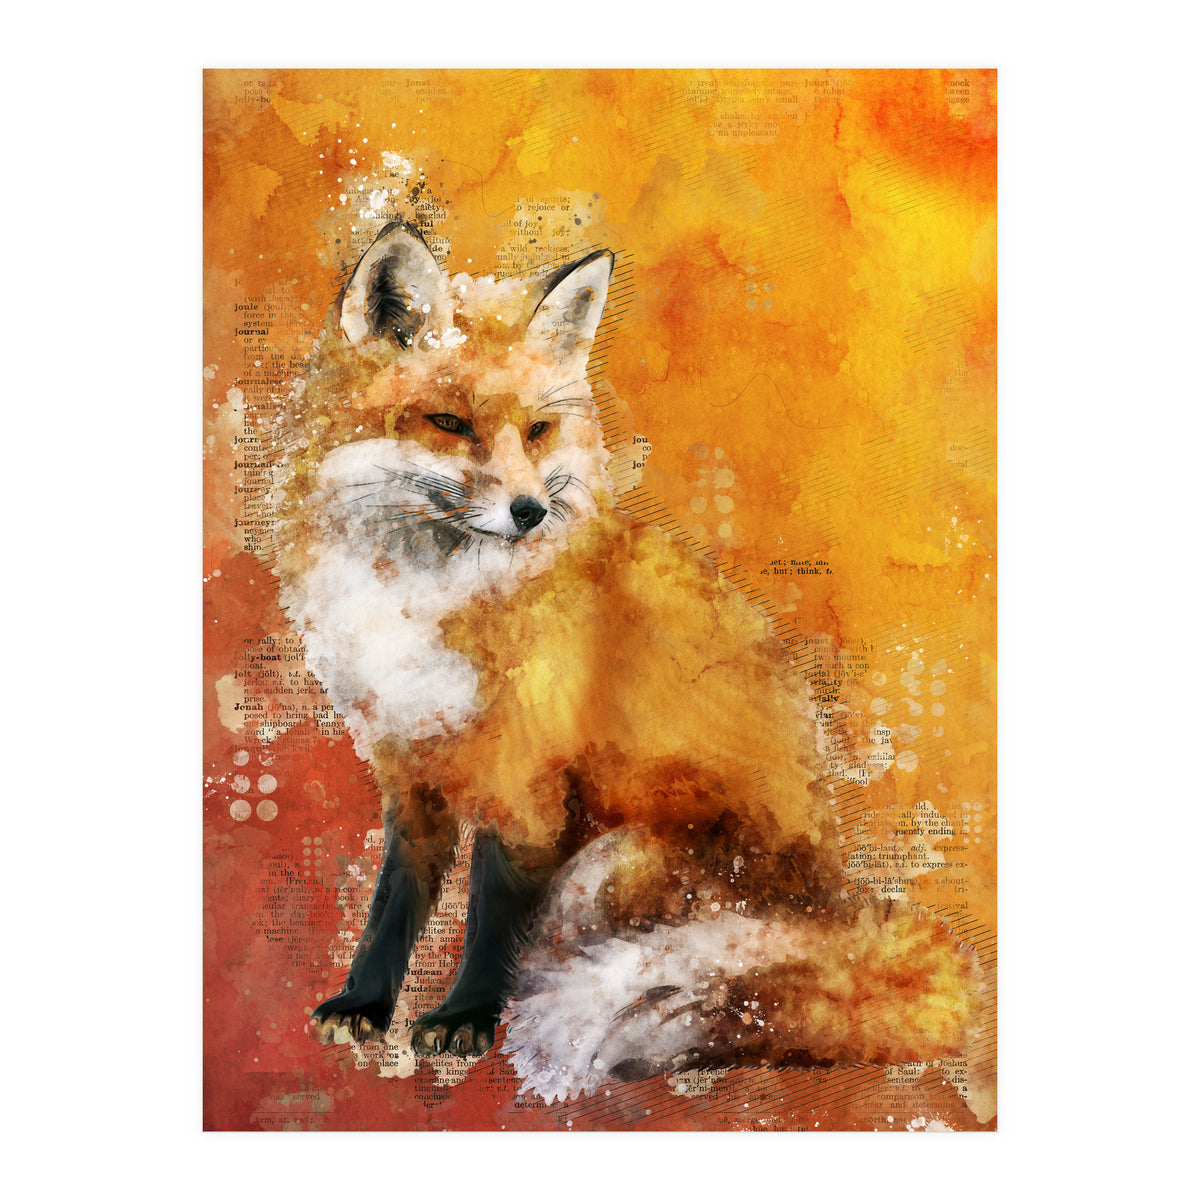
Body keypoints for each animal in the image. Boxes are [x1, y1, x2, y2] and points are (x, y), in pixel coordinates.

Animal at [273, 221, 981, 1093]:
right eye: (447, 422)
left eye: (538, 431)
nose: (530, 512)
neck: (431, 597)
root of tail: (834, 902)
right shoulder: (410, 769)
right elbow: (392, 905)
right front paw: (364, 1005)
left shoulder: (531, 780)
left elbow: (491, 916)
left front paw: (466, 1016)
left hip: (613, 857)